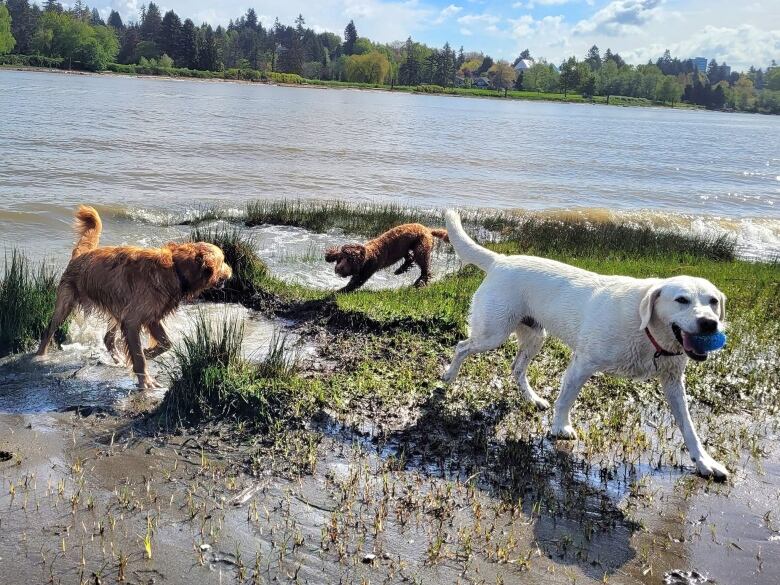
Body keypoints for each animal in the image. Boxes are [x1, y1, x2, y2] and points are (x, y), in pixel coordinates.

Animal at [37, 205, 232, 388]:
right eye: (223, 261)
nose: (231, 272)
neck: (175, 268)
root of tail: (80, 255)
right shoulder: (132, 321)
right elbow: (138, 357)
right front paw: (146, 381)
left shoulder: (152, 317)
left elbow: (165, 343)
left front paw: (148, 353)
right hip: (65, 304)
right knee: (48, 331)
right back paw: (40, 357)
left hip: (116, 307)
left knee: (108, 338)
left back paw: (119, 359)